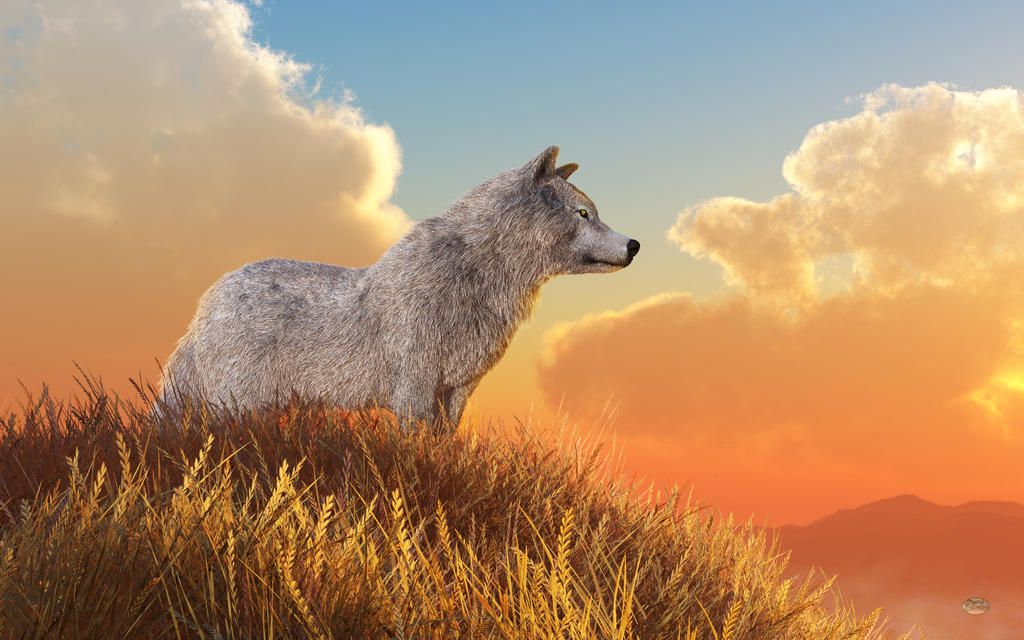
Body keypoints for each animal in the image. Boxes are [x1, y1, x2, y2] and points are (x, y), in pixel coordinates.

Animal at [157, 146, 639, 430]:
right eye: (583, 214)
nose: (634, 245)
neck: (475, 282)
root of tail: (204, 306)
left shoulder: (458, 388)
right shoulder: (415, 388)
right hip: (237, 402)